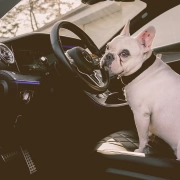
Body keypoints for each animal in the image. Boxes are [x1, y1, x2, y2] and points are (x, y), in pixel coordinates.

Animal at [100, 20, 180, 159]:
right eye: (107, 47)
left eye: (124, 54)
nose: (108, 56)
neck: (142, 69)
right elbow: (147, 134)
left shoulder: (140, 114)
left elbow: (142, 137)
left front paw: (140, 150)